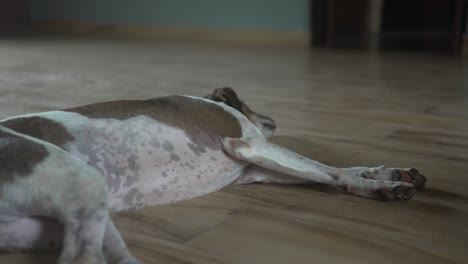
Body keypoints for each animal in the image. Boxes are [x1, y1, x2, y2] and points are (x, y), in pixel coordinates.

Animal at [0, 87, 424, 262]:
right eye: (247, 103)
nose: (273, 121)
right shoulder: (251, 147)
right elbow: (331, 171)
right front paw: (378, 184)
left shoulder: (255, 168)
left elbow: (328, 169)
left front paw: (389, 172)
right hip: (82, 183)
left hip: (63, 222)